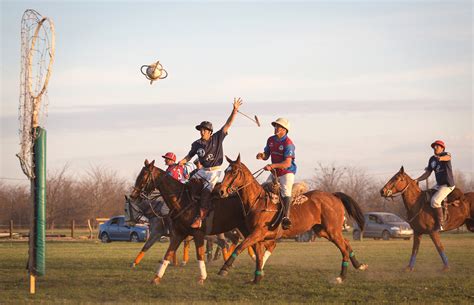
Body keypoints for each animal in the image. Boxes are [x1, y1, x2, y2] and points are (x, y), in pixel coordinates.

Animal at [128, 160, 272, 284]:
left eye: (143, 176)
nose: (133, 195)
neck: (182, 201)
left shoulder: (196, 234)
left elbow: (199, 255)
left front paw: (202, 277)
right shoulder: (178, 234)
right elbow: (167, 254)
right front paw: (156, 278)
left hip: (249, 229)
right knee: (251, 244)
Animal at [217, 156, 368, 284]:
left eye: (234, 172)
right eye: (225, 171)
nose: (221, 191)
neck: (257, 202)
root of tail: (334, 195)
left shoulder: (257, 233)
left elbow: (240, 247)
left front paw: (224, 268)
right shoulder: (257, 237)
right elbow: (258, 257)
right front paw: (256, 279)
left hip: (332, 230)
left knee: (343, 248)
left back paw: (341, 277)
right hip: (323, 231)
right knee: (346, 242)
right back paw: (359, 265)